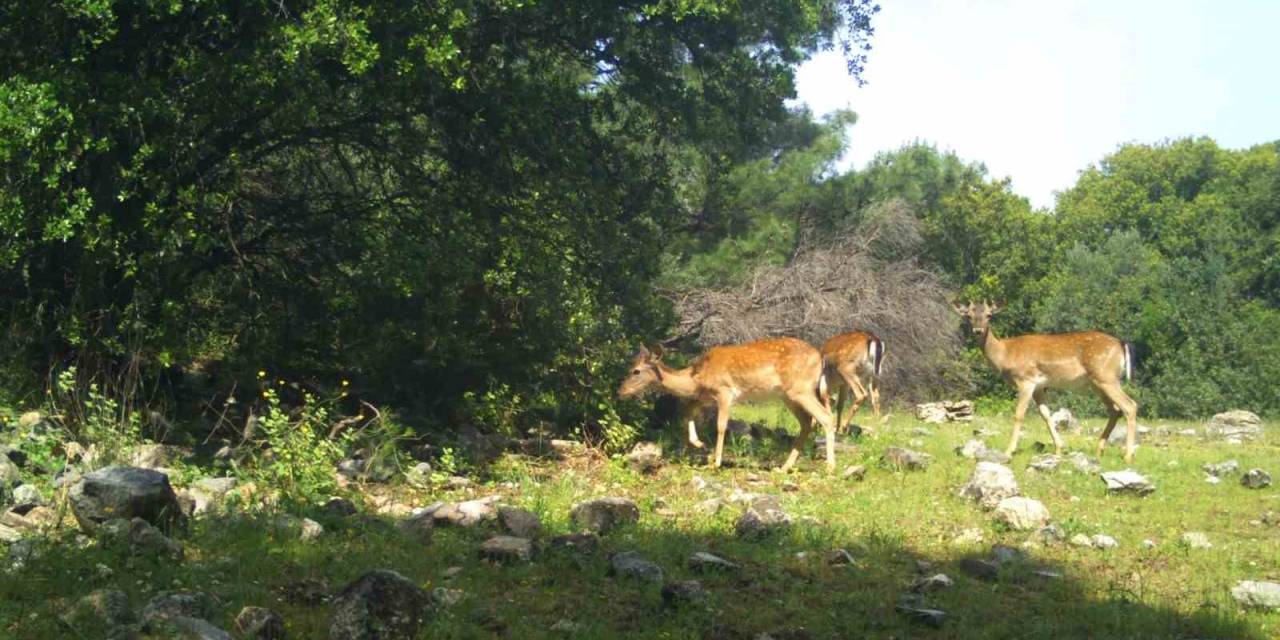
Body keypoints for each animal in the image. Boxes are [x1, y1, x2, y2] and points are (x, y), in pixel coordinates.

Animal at [616, 337, 839, 473]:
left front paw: (716, 462)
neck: (696, 377)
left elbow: (721, 425)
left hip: (800, 389)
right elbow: (688, 413)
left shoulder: (724, 391)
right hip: (789, 395)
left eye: (636, 370)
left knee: (827, 417)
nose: (621, 391)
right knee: (807, 423)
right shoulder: (705, 397)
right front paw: (700, 445)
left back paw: (830, 466)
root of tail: (820, 359)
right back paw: (784, 467)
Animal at [952, 302, 1141, 463]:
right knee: (1115, 410)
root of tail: (1121, 344)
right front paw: (1059, 448)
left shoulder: (1026, 380)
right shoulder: (1040, 386)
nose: (977, 330)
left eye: (989, 315)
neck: (1005, 354)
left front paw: (1009, 450)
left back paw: (1128, 456)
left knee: (1130, 405)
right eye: (968, 315)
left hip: (1106, 377)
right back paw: (1099, 449)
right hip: (1098, 383)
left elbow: (1019, 415)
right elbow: (1046, 414)